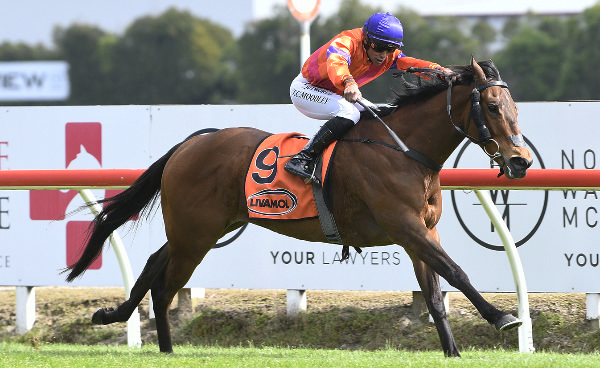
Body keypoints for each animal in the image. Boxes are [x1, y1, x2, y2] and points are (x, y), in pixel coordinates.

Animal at [67, 57, 536, 356]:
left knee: (153, 265)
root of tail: (191, 143)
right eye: (492, 106)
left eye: (515, 107)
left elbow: (436, 294)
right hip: (194, 234)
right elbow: (456, 272)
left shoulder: (422, 231)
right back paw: (158, 344)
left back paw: (120, 318)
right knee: (165, 286)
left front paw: (453, 352)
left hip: (201, 229)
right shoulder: (405, 227)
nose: (520, 161)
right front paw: (503, 317)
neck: (405, 150)